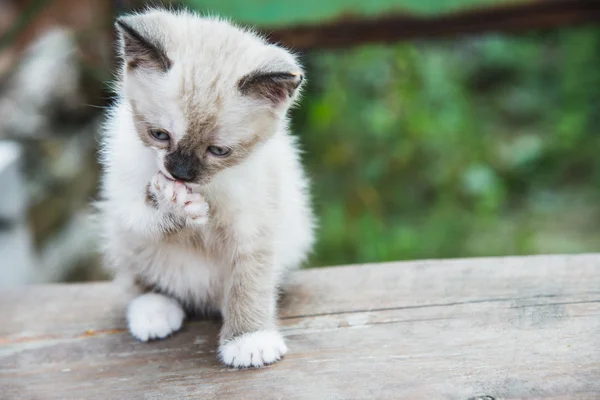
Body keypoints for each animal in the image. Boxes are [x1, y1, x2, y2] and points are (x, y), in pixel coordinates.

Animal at [97, 7, 314, 368]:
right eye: (159, 135)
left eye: (218, 151)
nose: (180, 173)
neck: (209, 190)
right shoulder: (125, 199)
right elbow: (147, 217)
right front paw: (174, 204)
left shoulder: (253, 224)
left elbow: (249, 282)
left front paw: (249, 339)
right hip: (120, 235)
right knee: (138, 277)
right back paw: (154, 310)